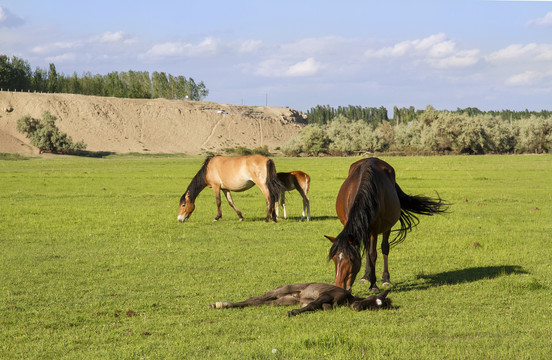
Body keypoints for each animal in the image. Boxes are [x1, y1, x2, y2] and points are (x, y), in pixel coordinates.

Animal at [328, 158, 448, 292]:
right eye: (334, 259)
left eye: (350, 259)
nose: (339, 287)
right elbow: (368, 252)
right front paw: (368, 278)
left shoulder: (374, 229)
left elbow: (372, 254)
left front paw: (374, 285)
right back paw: (365, 276)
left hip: (387, 227)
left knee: (384, 247)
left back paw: (385, 279)